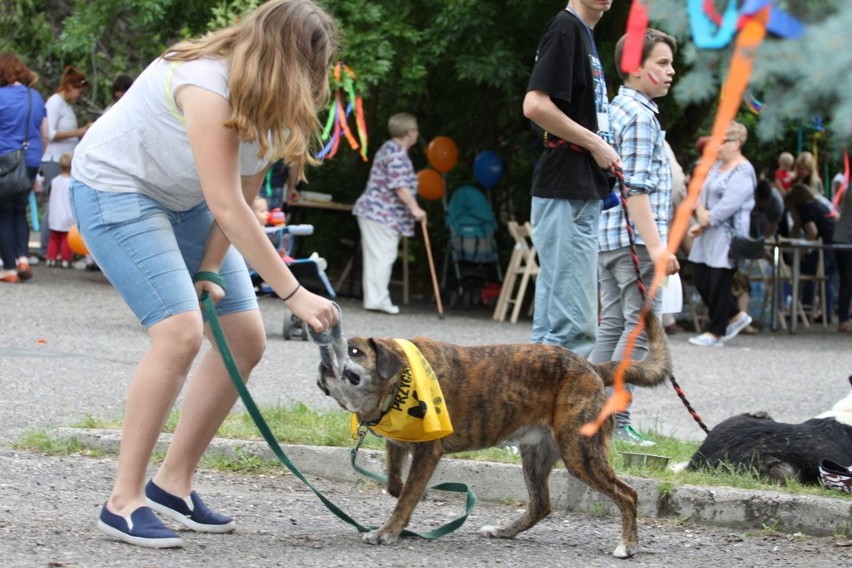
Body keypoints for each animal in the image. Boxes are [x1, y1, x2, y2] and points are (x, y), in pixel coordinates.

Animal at [318, 312, 672, 556]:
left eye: (354, 351)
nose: (324, 358)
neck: (402, 378)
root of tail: (592, 368)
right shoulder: (400, 445)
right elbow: (396, 486)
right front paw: (416, 495)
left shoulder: (428, 451)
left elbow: (405, 498)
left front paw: (387, 532)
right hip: (536, 455)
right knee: (541, 505)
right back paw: (505, 532)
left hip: (580, 453)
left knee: (628, 494)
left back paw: (628, 546)